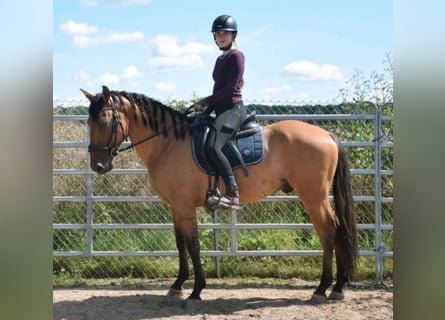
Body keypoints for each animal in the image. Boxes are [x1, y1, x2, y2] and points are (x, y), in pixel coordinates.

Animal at [80, 85, 358, 302]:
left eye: (105, 121)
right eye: (89, 123)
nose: (98, 166)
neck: (168, 143)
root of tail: (327, 134)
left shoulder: (184, 206)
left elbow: (193, 245)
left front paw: (196, 290)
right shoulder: (175, 207)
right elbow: (180, 244)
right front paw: (177, 286)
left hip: (313, 197)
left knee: (328, 231)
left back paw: (323, 288)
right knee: (338, 229)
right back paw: (338, 288)